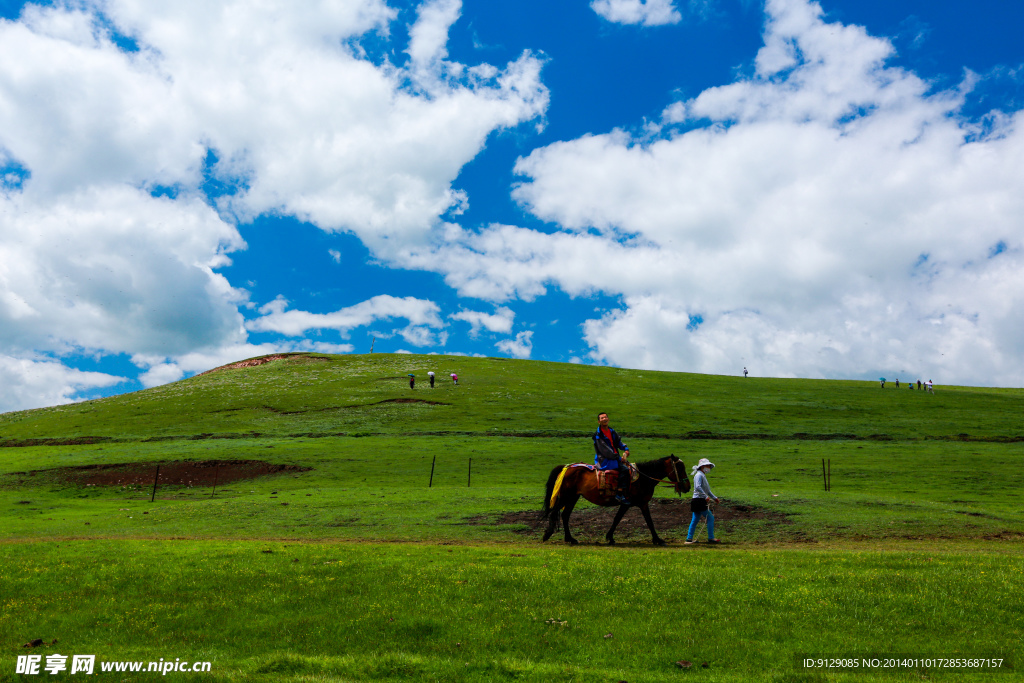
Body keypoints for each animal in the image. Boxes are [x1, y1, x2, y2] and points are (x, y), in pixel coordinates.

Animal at [540, 456, 692, 548]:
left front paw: (610, 537)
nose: (687, 487)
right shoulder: (633, 503)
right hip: (567, 496)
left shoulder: (635, 504)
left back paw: (570, 539)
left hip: (573, 497)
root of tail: (567, 467)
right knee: (555, 512)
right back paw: (548, 534)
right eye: (680, 468)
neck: (643, 478)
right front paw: (658, 540)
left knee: (565, 515)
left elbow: (621, 519)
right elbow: (646, 521)